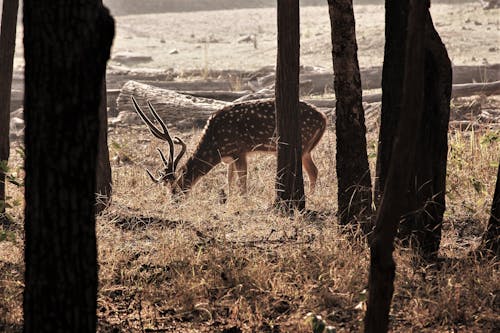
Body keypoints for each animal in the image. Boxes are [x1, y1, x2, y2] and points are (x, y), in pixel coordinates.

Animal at [132, 95, 328, 195]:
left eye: (174, 189)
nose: (174, 202)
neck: (215, 145)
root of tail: (323, 118)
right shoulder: (229, 157)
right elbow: (230, 180)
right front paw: (230, 200)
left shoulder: (239, 150)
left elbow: (242, 181)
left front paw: (243, 201)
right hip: (306, 149)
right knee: (314, 170)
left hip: (303, 143)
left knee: (312, 171)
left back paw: (310, 197)